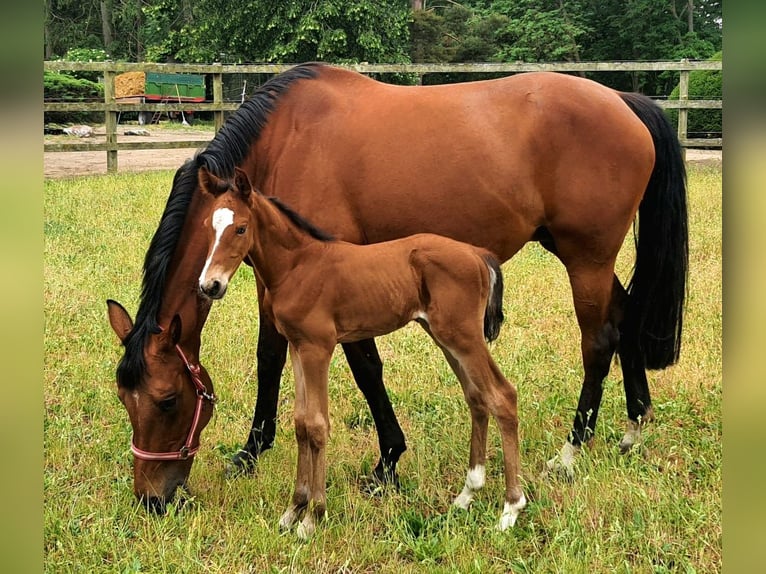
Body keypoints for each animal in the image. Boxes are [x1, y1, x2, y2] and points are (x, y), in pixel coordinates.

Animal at [196, 168, 528, 540]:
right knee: (477, 397)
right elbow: (300, 423)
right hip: (447, 337)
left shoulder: (318, 347)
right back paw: (467, 494)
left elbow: (317, 425)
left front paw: (313, 517)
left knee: (502, 396)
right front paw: (293, 510)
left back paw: (511, 509)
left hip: (465, 337)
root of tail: (477, 253)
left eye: (240, 228)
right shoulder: (297, 346)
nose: (210, 285)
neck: (298, 266)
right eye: (208, 226)